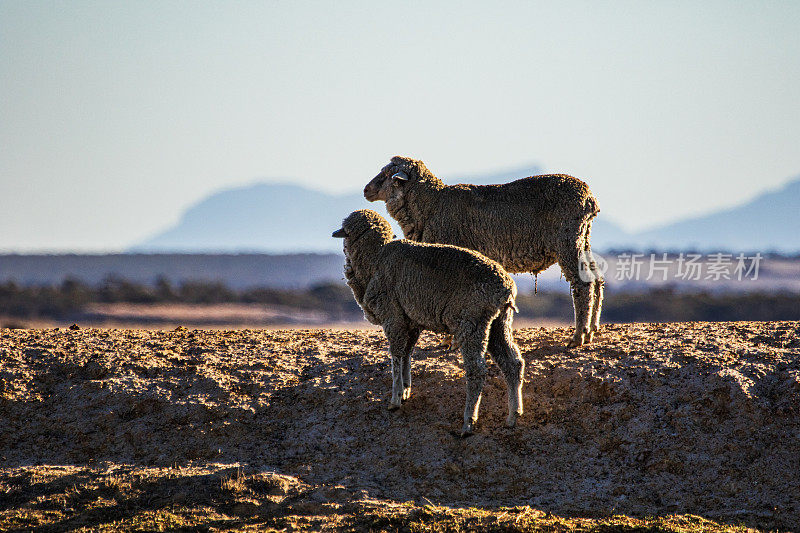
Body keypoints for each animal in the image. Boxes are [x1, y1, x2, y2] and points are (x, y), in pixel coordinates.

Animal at [332, 209, 524, 436]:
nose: (336, 233)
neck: (375, 259)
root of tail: (505, 288)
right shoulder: (411, 321)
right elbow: (406, 354)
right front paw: (406, 389)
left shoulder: (393, 317)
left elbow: (395, 355)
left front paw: (395, 399)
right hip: (499, 323)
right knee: (513, 363)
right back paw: (513, 416)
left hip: (471, 323)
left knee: (477, 370)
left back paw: (468, 422)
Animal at [366, 155, 604, 344]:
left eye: (387, 174)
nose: (366, 190)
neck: (431, 205)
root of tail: (590, 199)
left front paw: (448, 341)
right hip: (583, 238)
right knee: (597, 279)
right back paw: (592, 330)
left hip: (567, 240)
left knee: (583, 284)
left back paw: (578, 337)